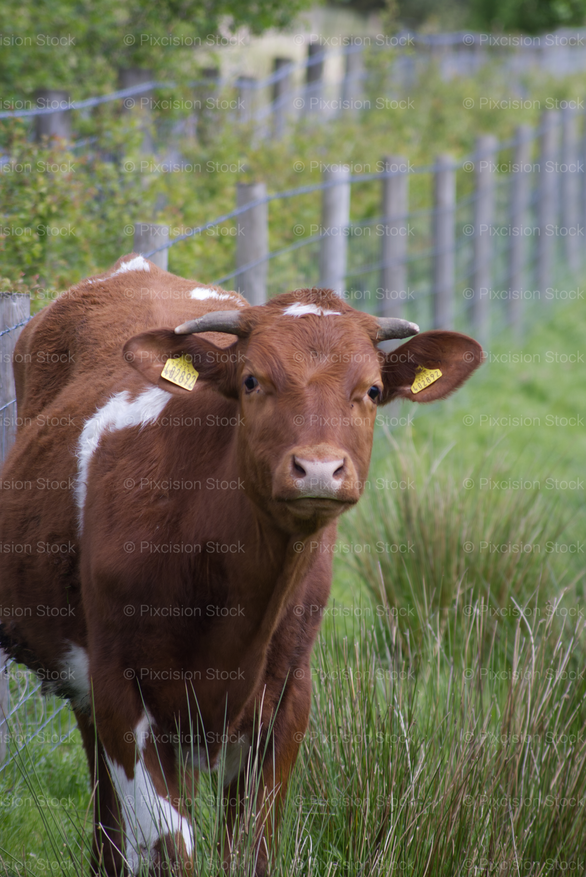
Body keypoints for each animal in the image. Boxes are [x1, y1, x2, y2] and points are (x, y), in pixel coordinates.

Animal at [0, 254, 482, 875]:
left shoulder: (287, 694)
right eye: (252, 381)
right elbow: (169, 844)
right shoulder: (119, 687)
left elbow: (251, 845)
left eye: (373, 389)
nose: (319, 469)